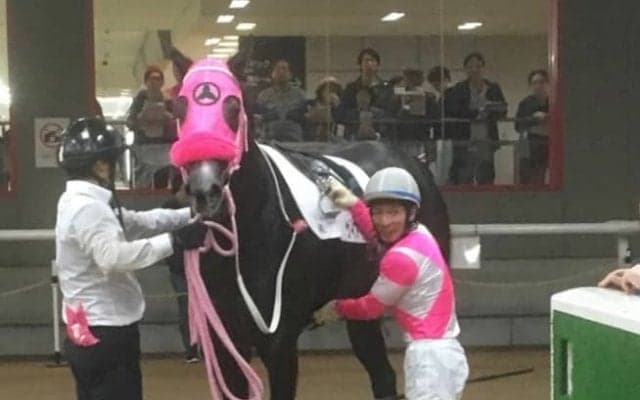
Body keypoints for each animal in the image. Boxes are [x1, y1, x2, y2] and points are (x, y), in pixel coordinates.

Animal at [172, 59, 451, 400]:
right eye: (180, 107)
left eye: (234, 106)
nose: (204, 190)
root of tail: (412, 162)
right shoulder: (226, 341)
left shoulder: (279, 343)